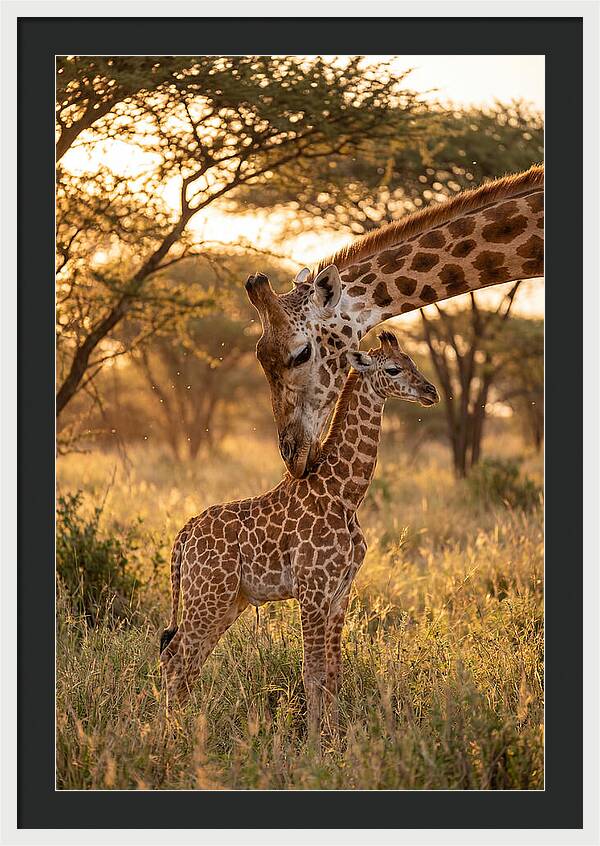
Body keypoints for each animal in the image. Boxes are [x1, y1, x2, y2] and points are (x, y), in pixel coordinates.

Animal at [160, 331, 439, 740]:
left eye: (413, 362)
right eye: (393, 368)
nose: (430, 391)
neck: (344, 493)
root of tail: (185, 534)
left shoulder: (340, 593)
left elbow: (334, 673)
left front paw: (336, 739)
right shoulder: (312, 589)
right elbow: (312, 672)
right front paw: (313, 743)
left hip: (227, 600)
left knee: (189, 660)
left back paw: (186, 729)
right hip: (207, 595)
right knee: (175, 657)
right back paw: (170, 737)